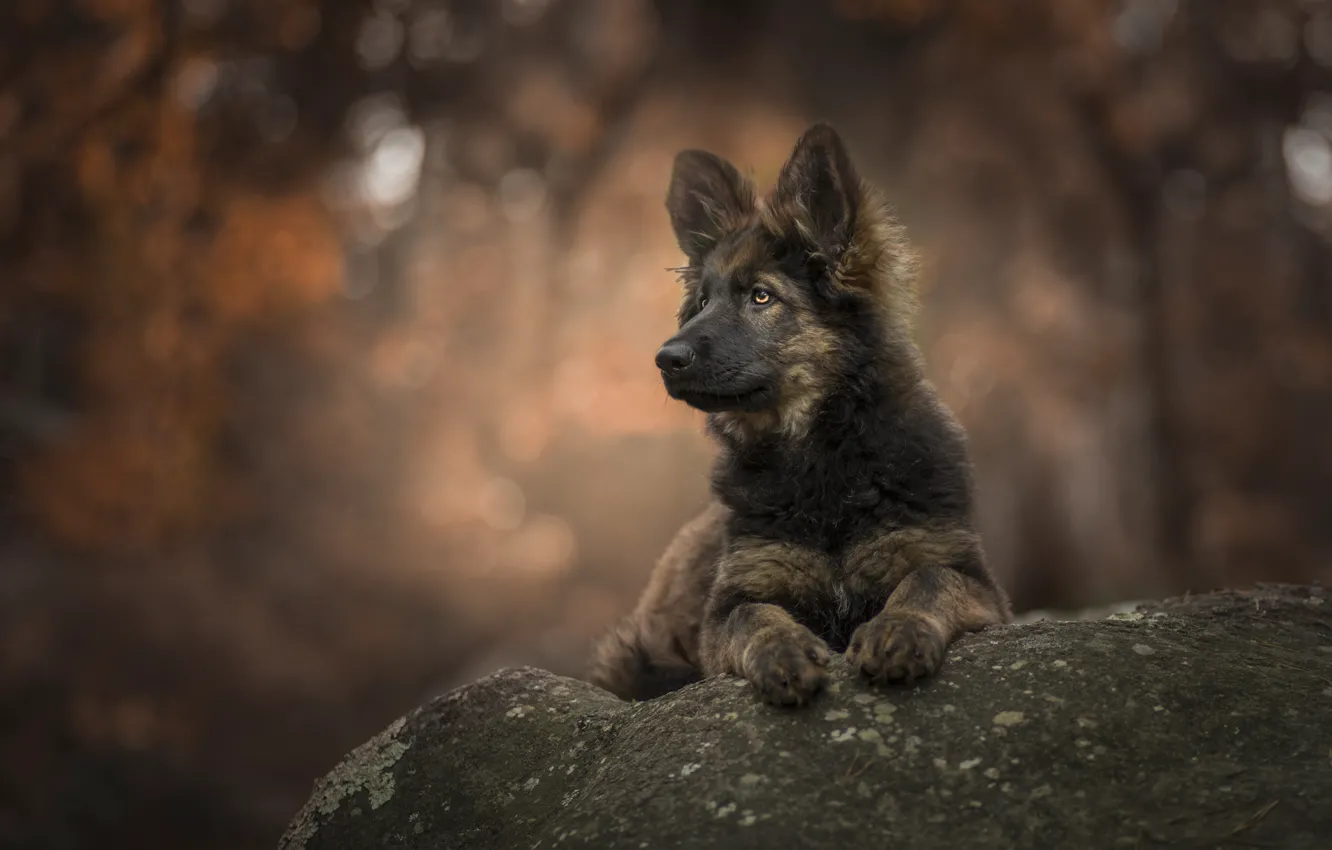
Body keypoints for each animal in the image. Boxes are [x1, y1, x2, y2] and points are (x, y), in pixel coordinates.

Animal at [588, 125, 1012, 714]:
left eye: (762, 296)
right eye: (702, 302)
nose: (665, 359)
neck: (821, 458)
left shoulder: (975, 583)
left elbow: (929, 580)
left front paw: (897, 630)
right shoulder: (731, 603)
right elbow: (754, 616)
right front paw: (782, 653)